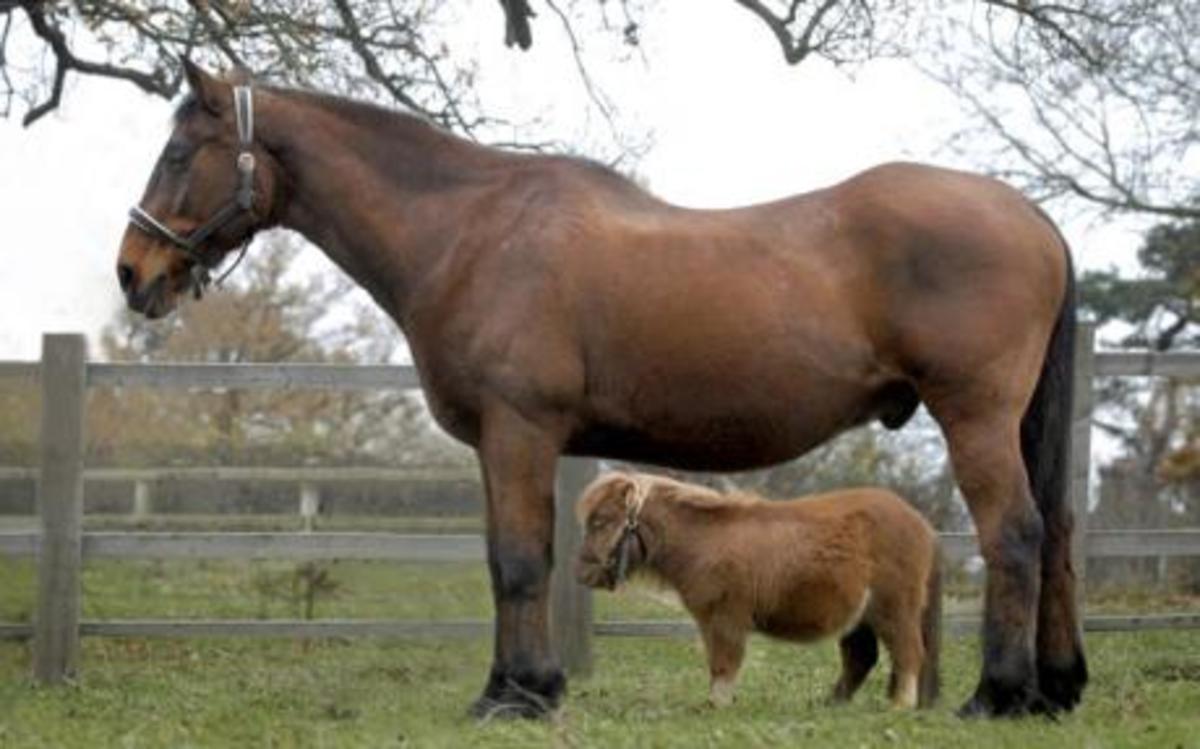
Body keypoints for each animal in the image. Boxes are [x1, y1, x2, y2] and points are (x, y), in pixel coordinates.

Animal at [575, 472, 941, 710]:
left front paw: (717, 705)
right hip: (859, 618)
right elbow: (717, 663)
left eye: (601, 521)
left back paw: (900, 705)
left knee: (909, 653)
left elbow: (725, 663)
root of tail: (922, 523)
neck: (706, 543)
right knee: (861, 658)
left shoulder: (726, 619)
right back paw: (831, 704)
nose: (583, 574)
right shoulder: (712, 622)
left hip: (894, 609)